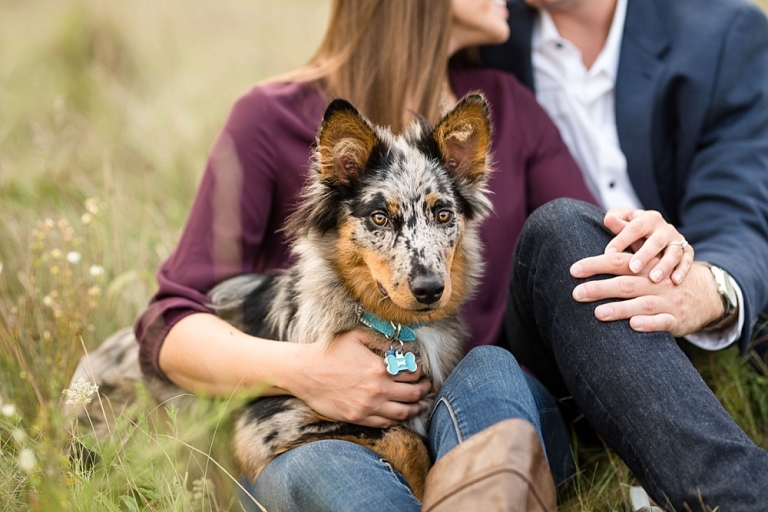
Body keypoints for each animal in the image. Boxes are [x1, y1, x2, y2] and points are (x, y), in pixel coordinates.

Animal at [208, 92, 492, 500]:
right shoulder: (266, 427)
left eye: (443, 214)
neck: (396, 326)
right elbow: (404, 438)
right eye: (379, 218)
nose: (430, 289)